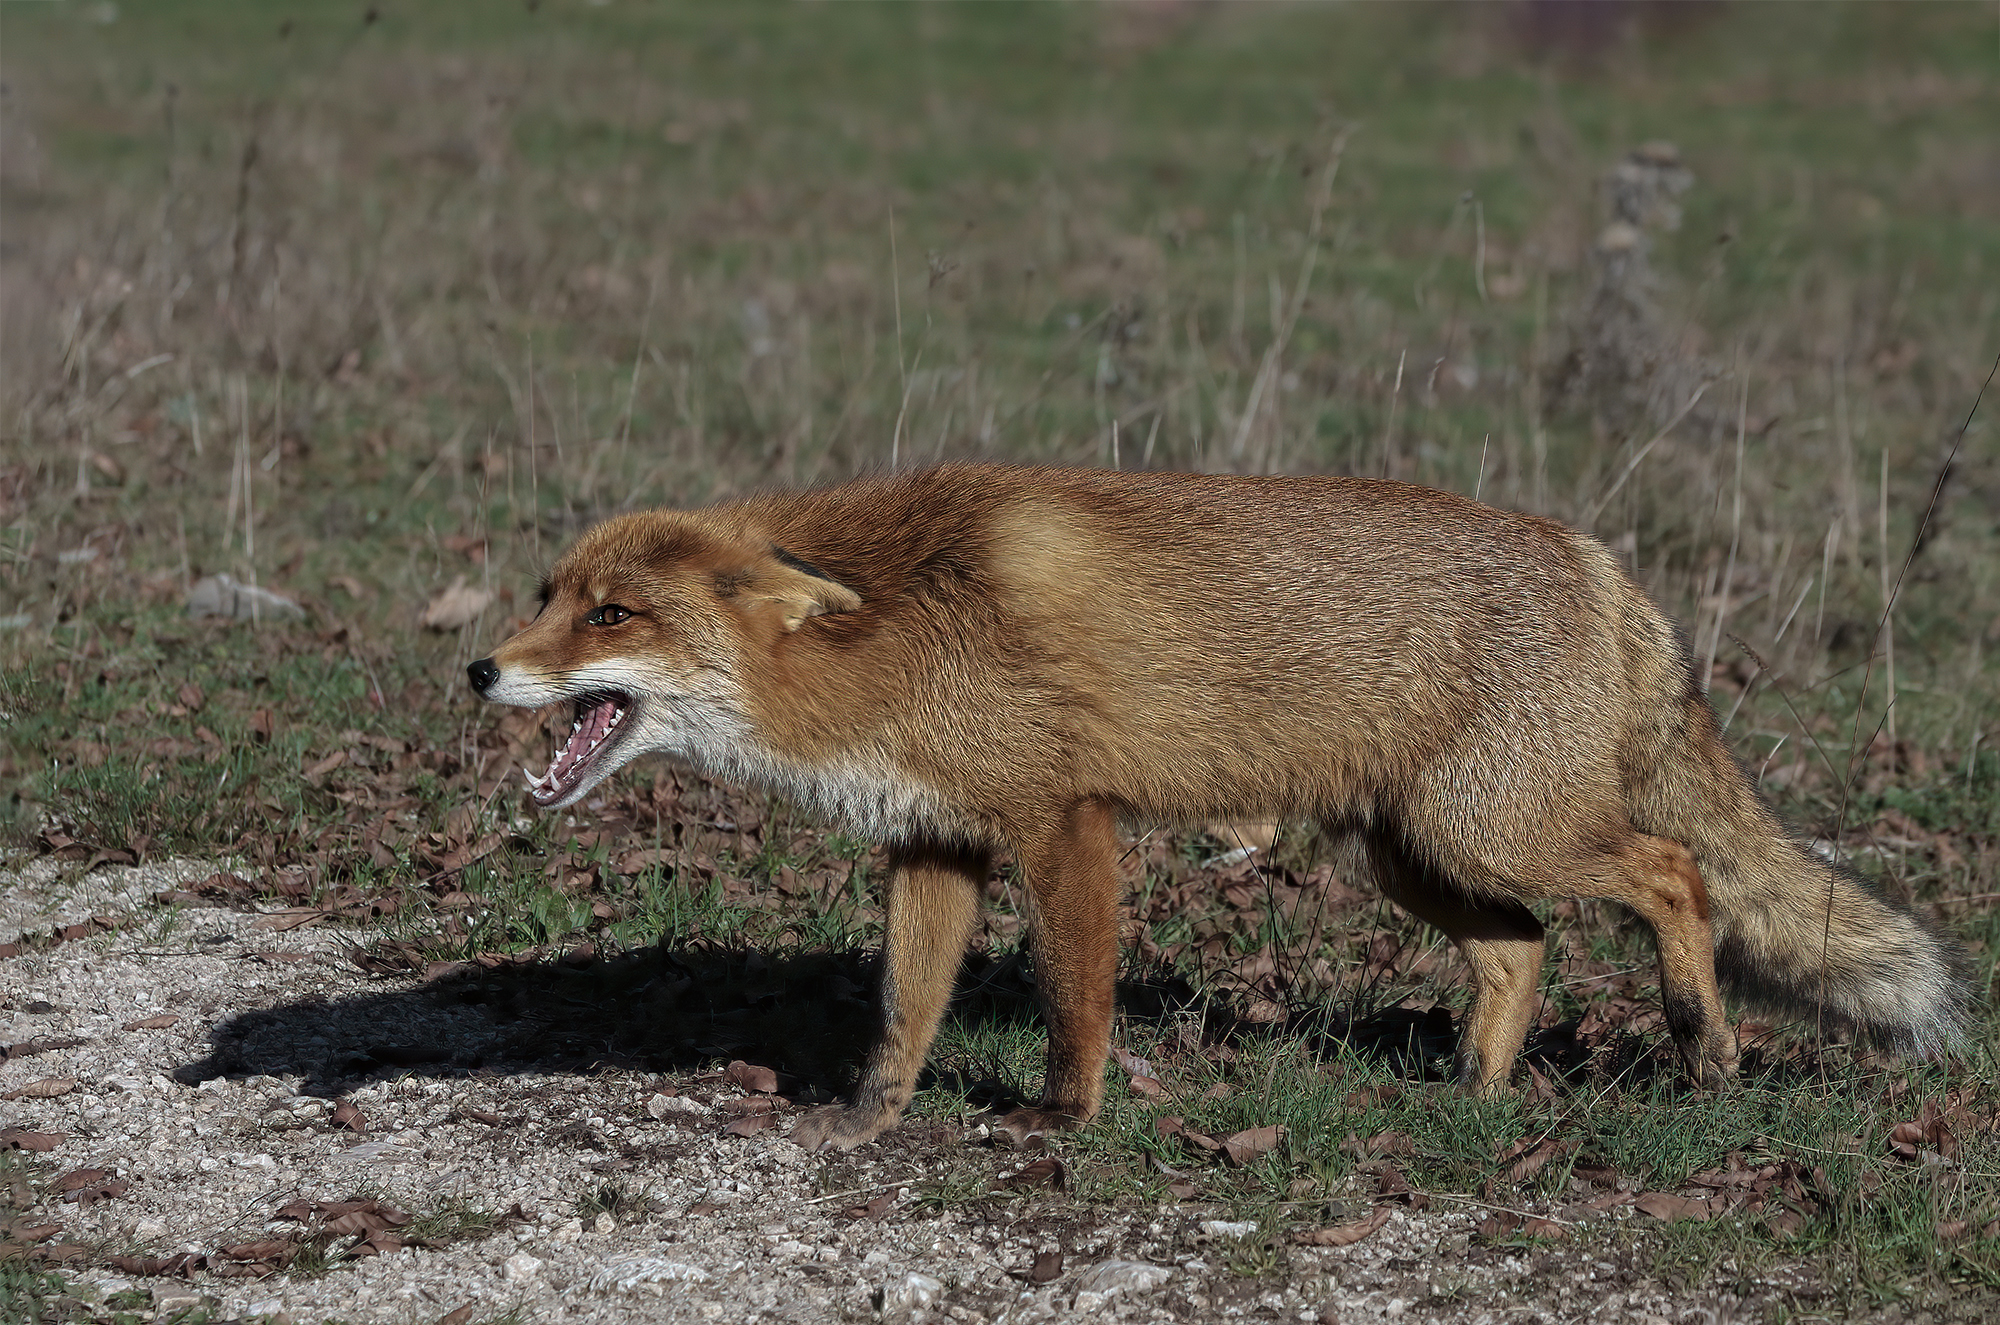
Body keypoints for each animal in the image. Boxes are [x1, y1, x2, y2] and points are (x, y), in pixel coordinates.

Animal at [467, 464, 1969, 1151]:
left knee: (1675, 875)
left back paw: (1701, 1044)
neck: (891, 633)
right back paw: (1475, 1095)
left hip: (1502, 829)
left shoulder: (1065, 822)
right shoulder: (936, 842)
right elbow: (902, 1008)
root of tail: (1597, 558)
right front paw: (867, 1119)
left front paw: (1062, 1122)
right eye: (548, 594)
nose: (479, 667)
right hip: (1415, 857)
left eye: (612, 614)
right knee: (1523, 945)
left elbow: (1074, 995)